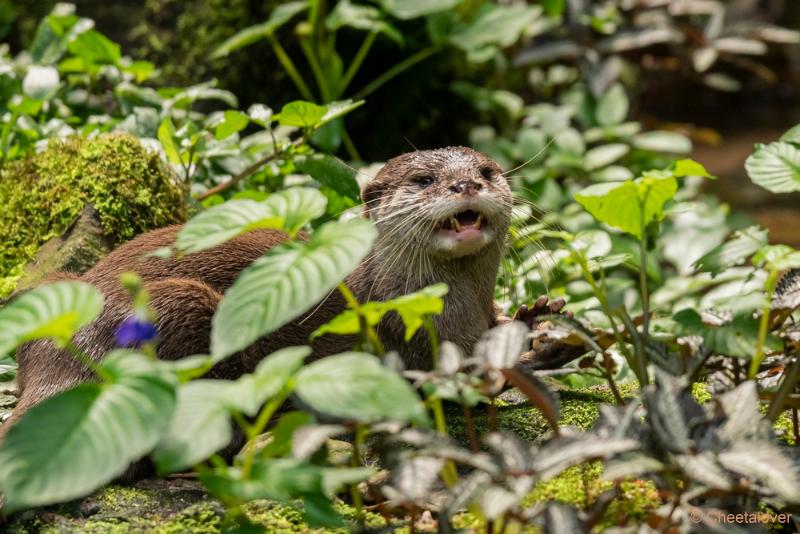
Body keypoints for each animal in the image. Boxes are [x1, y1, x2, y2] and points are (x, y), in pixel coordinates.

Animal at [1, 148, 564, 440]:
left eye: (487, 171)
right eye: (424, 180)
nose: (467, 186)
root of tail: (52, 361)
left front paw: (537, 319)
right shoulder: (407, 347)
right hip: (179, 303)